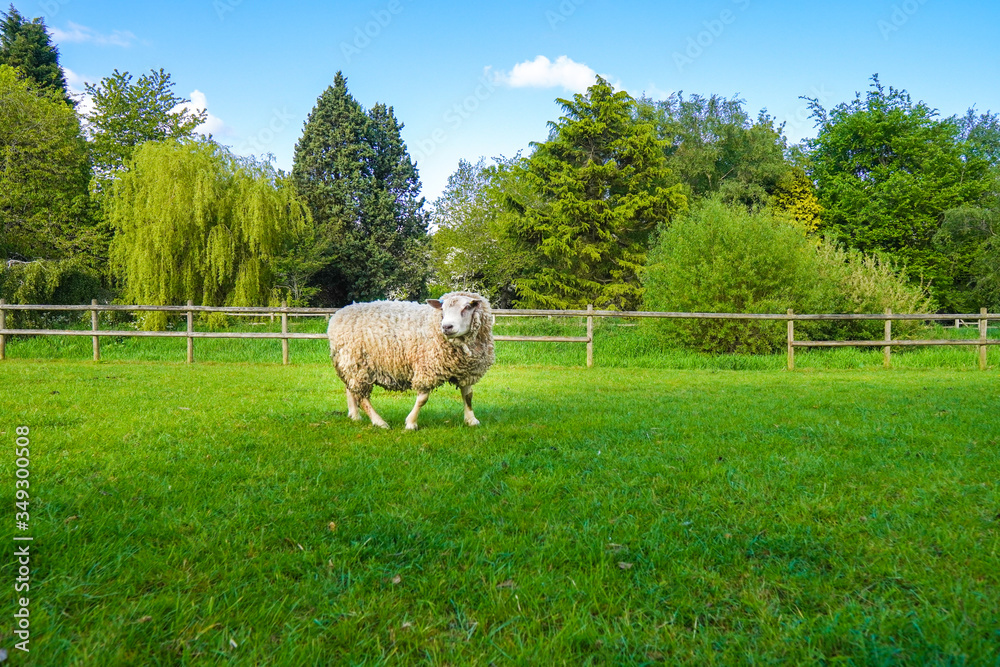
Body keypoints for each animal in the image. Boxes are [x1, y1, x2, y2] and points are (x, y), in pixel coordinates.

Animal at [327, 291, 495, 430]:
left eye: (467, 307)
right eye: (442, 309)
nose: (447, 327)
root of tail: (339, 314)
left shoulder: (467, 371)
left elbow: (468, 395)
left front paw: (471, 420)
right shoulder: (427, 369)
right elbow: (422, 399)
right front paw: (411, 423)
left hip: (351, 363)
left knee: (350, 389)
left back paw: (355, 416)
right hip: (357, 363)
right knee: (362, 397)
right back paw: (379, 422)